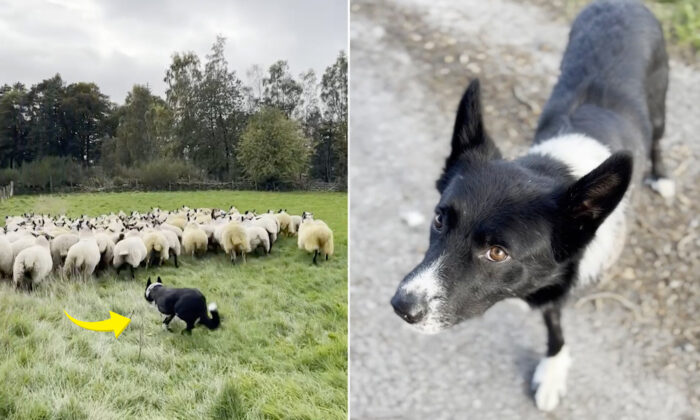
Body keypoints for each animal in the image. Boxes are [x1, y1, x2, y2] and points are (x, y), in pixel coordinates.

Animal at [392, 0, 668, 414]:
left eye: (497, 252)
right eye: (440, 218)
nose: (401, 306)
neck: (554, 168)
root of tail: (624, 4)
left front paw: (552, 371)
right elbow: (553, 321)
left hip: (660, 101)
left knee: (659, 138)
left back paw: (662, 175)